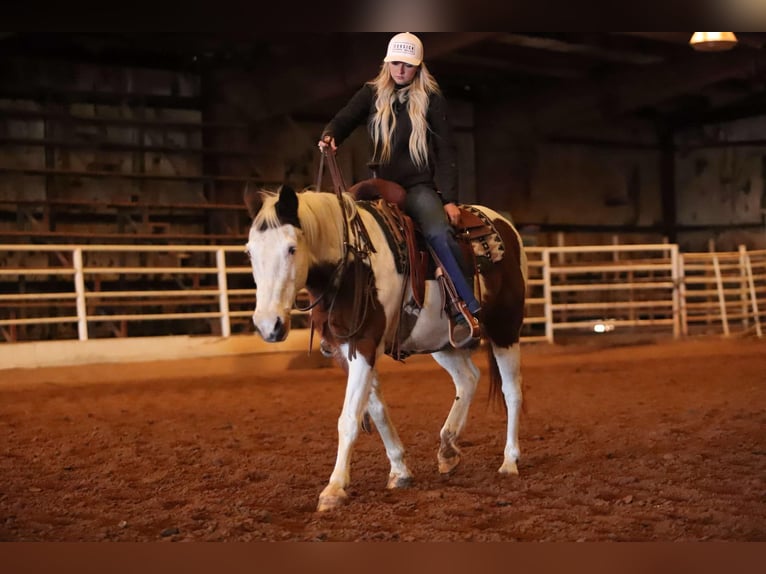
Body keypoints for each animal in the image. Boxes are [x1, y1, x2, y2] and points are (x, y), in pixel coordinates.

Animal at [246, 183, 528, 512]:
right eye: (249, 251)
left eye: (291, 248)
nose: (269, 325)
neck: (354, 263)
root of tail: (503, 224)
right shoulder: (345, 350)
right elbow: (375, 409)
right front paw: (400, 471)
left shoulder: (364, 345)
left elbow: (349, 417)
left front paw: (334, 487)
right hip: (441, 342)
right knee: (468, 379)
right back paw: (447, 448)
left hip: (505, 328)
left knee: (511, 391)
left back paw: (509, 461)